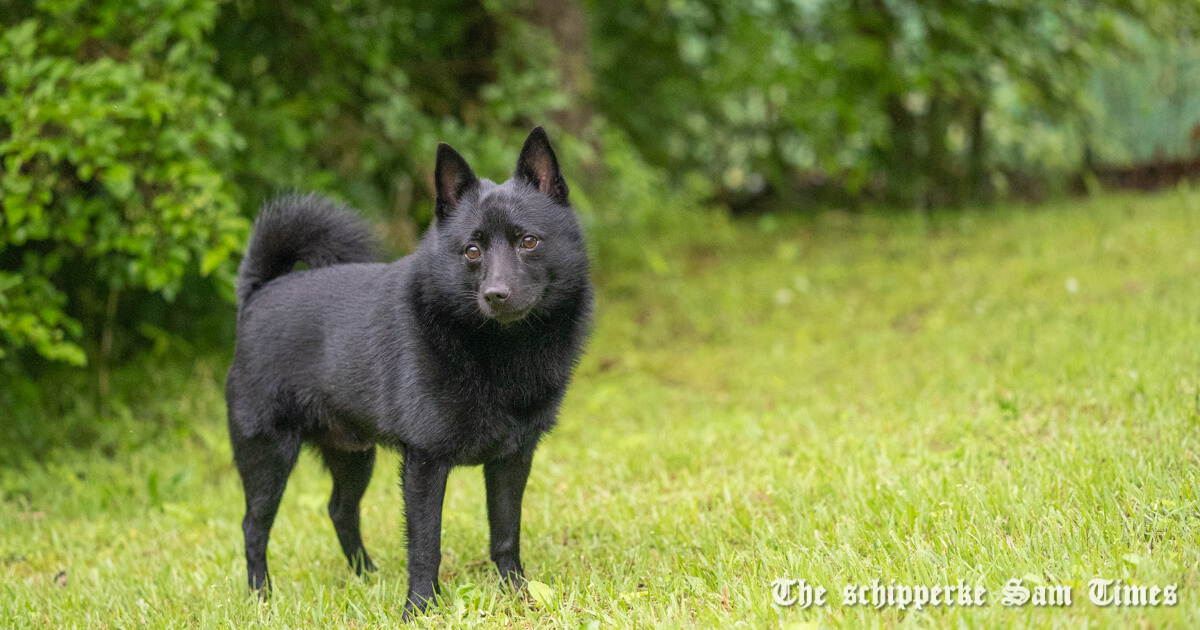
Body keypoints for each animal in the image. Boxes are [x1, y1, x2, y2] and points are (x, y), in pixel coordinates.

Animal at [224, 126, 590, 614]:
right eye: (471, 250)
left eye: (528, 241)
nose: (496, 294)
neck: (498, 351)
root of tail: (258, 295)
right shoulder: (424, 464)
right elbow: (425, 544)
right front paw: (419, 607)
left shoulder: (513, 458)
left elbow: (505, 533)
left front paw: (517, 591)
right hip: (268, 455)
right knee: (253, 525)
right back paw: (261, 596)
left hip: (353, 455)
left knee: (340, 510)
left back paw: (366, 576)